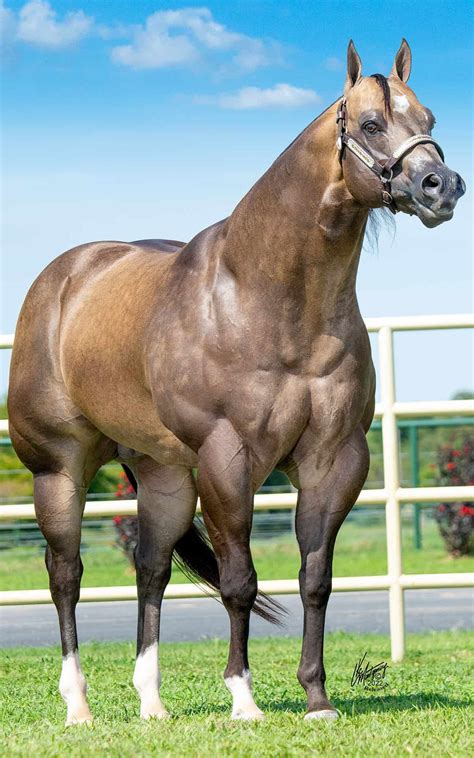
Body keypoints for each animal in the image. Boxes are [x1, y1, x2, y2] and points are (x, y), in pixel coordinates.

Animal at [8, 39, 465, 725]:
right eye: (369, 124)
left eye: (430, 119)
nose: (443, 185)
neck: (262, 299)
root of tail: (62, 279)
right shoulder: (229, 459)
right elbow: (239, 581)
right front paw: (244, 699)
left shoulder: (335, 461)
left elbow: (315, 578)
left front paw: (317, 698)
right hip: (59, 470)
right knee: (66, 574)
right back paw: (78, 706)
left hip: (164, 475)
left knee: (150, 570)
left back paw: (152, 704)